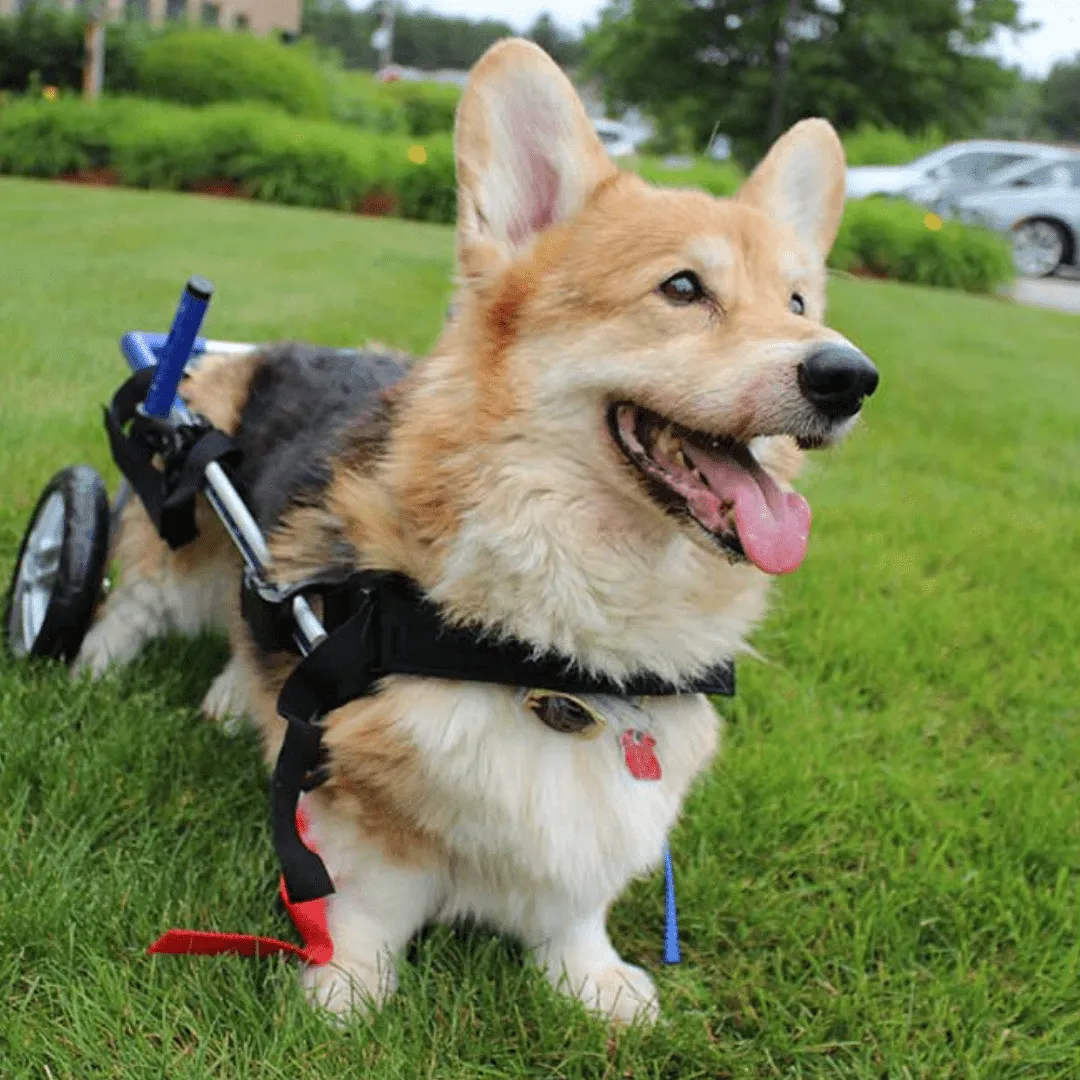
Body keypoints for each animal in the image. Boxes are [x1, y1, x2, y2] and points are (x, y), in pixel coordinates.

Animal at [76, 38, 872, 1023]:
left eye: (799, 304)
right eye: (683, 288)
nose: (850, 377)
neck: (568, 654)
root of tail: (264, 347)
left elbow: (575, 911)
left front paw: (596, 983)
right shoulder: (356, 780)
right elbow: (368, 901)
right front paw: (345, 993)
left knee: (246, 622)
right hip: (179, 528)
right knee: (128, 605)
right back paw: (83, 676)